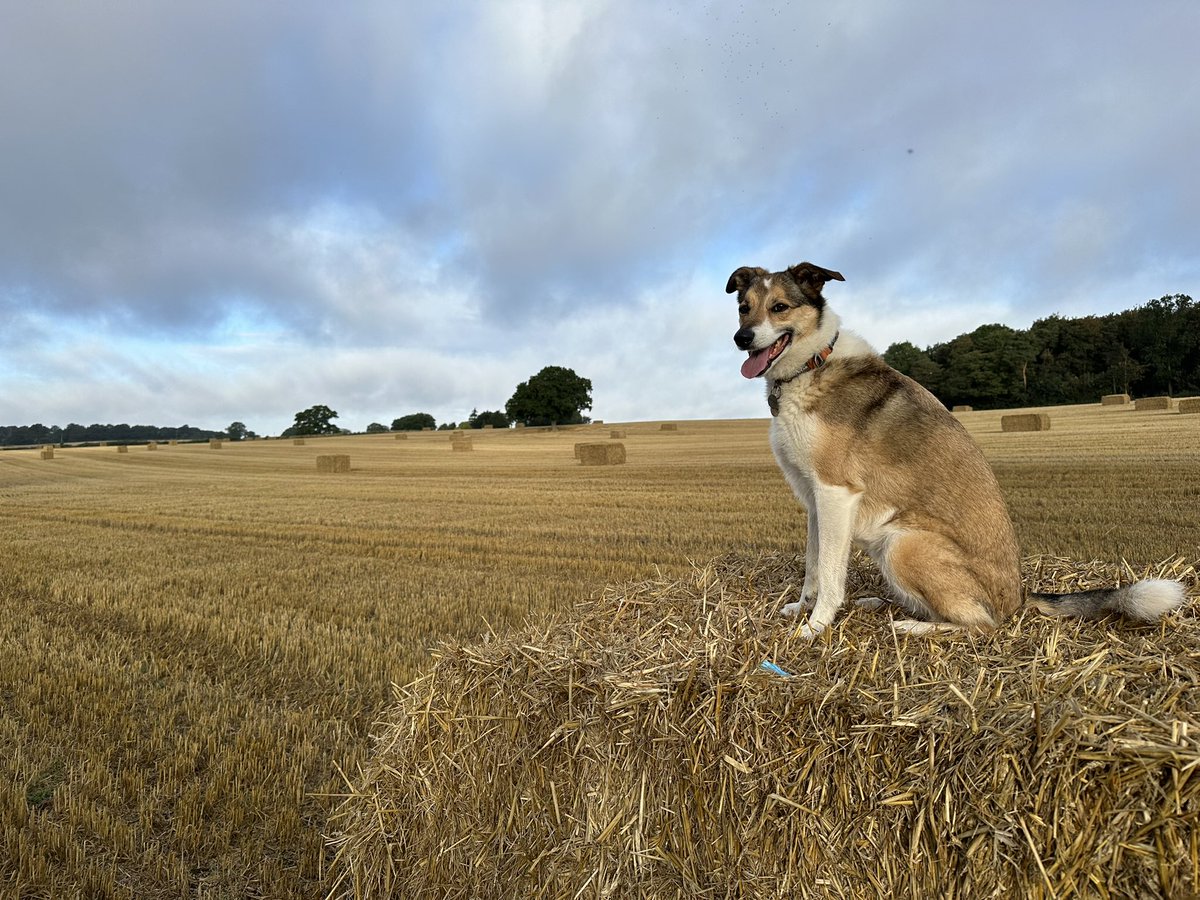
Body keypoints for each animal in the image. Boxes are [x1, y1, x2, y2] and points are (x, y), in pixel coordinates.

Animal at [724, 262, 1185, 643]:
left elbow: (831, 572)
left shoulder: (836, 493)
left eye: (780, 307)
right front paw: (801, 609)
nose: (741, 339)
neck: (811, 365)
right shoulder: (815, 501)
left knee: (981, 623)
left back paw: (911, 626)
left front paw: (817, 626)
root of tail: (1020, 597)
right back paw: (880, 604)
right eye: (744, 307)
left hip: (903, 544)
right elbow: (812, 565)